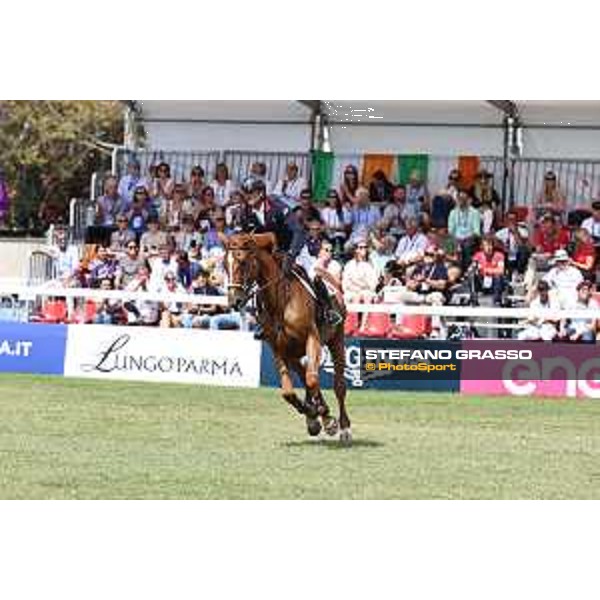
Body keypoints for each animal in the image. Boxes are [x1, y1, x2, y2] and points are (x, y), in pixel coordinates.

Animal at [225, 232, 352, 442]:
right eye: (224, 265)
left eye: (242, 262)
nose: (234, 301)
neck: (280, 302)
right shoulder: (277, 348)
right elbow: (288, 392)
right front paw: (313, 414)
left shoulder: (313, 339)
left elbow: (312, 379)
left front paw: (325, 416)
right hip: (293, 353)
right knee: (304, 372)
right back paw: (315, 418)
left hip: (336, 340)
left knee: (338, 385)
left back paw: (343, 427)